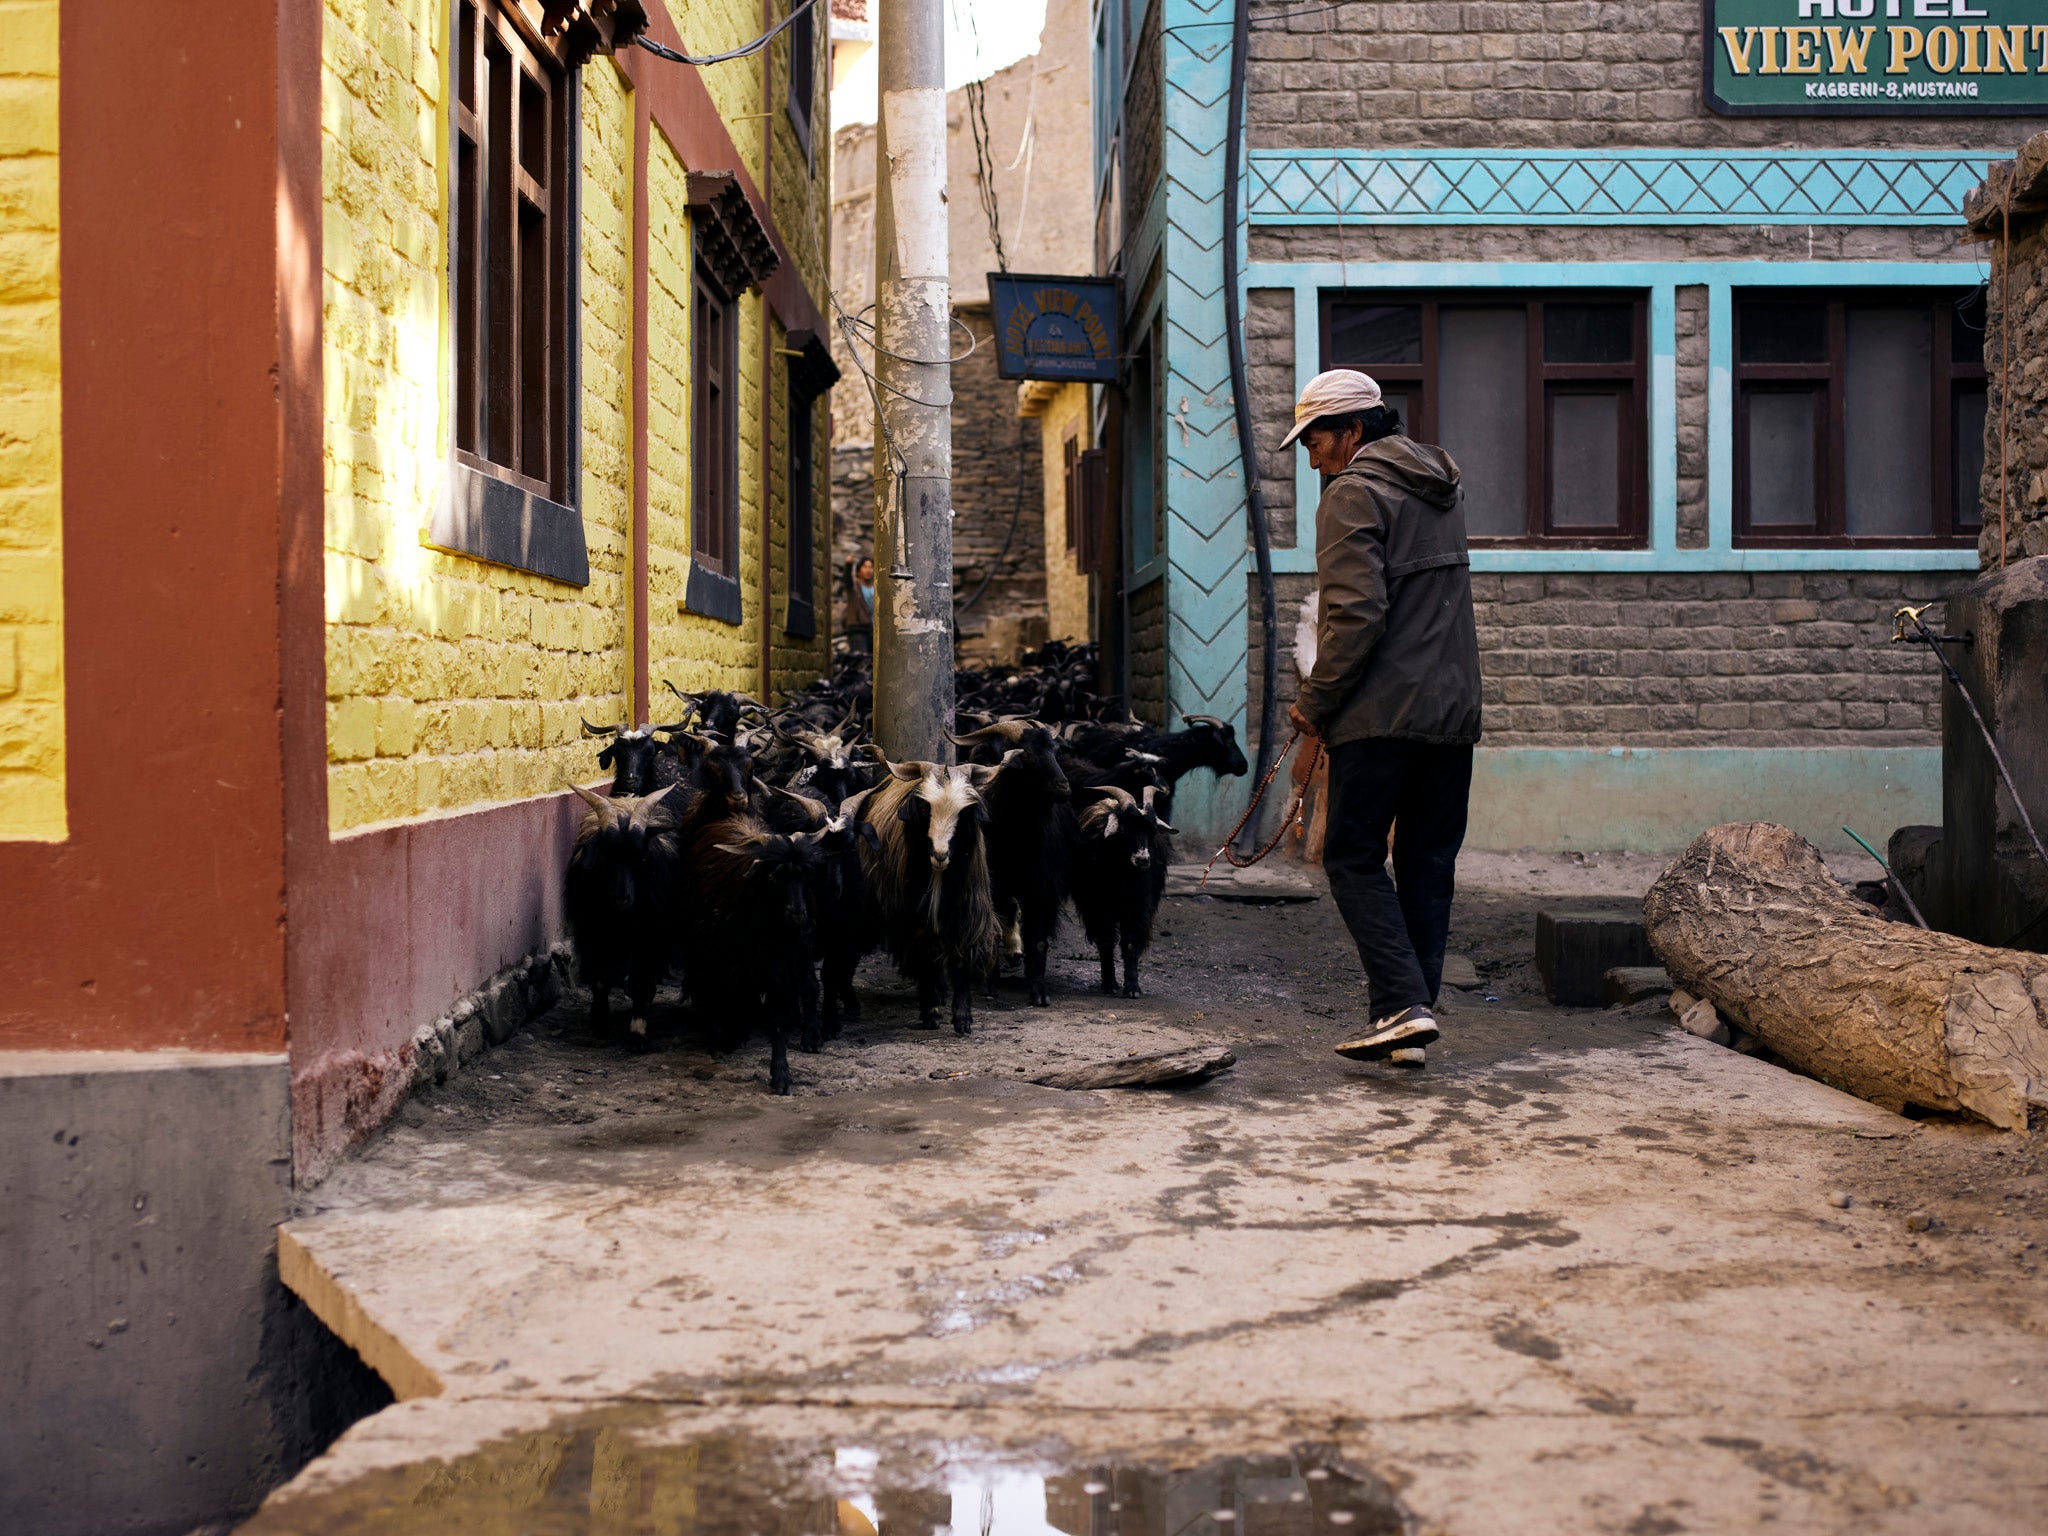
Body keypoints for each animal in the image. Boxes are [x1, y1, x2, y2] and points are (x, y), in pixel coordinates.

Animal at [565, 786, 684, 1056]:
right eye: (605, 856)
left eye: (641, 858)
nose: (622, 898)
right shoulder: (592, 934)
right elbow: (600, 978)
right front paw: (600, 1021)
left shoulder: (648, 936)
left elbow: (641, 977)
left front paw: (637, 1033)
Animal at [1064, 794, 1179, 999]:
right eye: (1125, 830)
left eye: (1152, 832)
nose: (1142, 859)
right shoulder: (1099, 907)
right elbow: (1106, 940)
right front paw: (1109, 984)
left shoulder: (1137, 907)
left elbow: (1131, 943)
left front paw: (1132, 988)